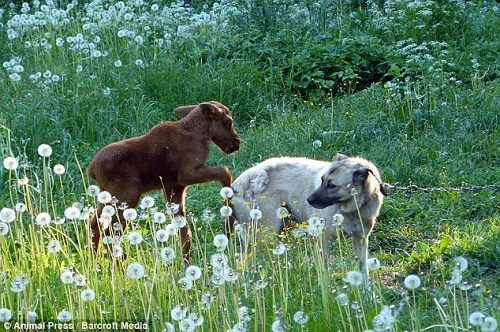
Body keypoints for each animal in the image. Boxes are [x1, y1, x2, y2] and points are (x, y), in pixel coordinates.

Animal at [89, 101, 241, 262]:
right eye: (228, 122)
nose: (237, 142)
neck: (200, 134)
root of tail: (92, 169)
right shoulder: (187, 174)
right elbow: (224, 171)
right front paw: (228, 216)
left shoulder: (174, 187)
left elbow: (185, 234)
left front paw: (186, 263)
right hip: (127, 197)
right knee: (110, 233)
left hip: (106, 196)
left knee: (95, 226)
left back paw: (95, 261)